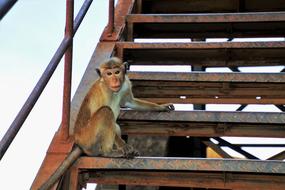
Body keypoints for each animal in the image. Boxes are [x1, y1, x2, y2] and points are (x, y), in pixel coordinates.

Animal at [38, 57, 173, 189]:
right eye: (109, 74)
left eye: (117, 72)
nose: (114, 80)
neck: (113, 90)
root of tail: (78, 141)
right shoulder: (103, 91)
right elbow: (107, 111)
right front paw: (124, 146)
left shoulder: (125, 85)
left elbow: (130, 102)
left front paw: (161, 107)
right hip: (89, 138)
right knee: (106, 112)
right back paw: (109, 152)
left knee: (115, 125)